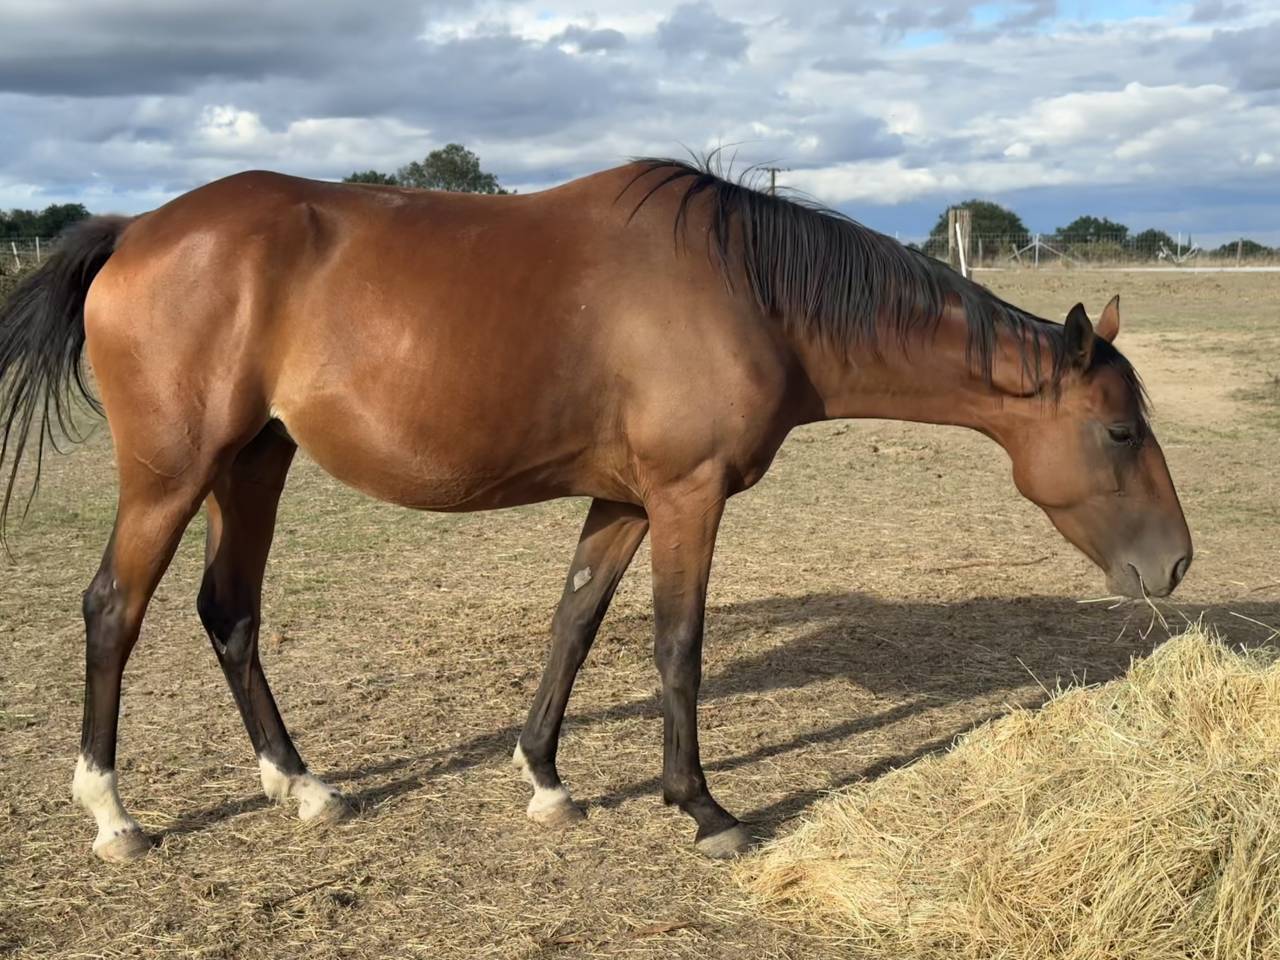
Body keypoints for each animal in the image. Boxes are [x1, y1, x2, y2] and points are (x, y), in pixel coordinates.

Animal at [0, 159, 1192, 863]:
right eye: (1119, 433)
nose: (1174, 565)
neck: (749, 292)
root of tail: (139, 229)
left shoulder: (619, 499)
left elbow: (572, 624)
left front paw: (544, 780)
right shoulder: (685, 494)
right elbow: (677, 645)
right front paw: (703, 808)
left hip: (254, 461)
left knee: (230, 614)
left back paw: (304, 788)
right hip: (173, 473)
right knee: (115, 611)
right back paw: (113, 815)